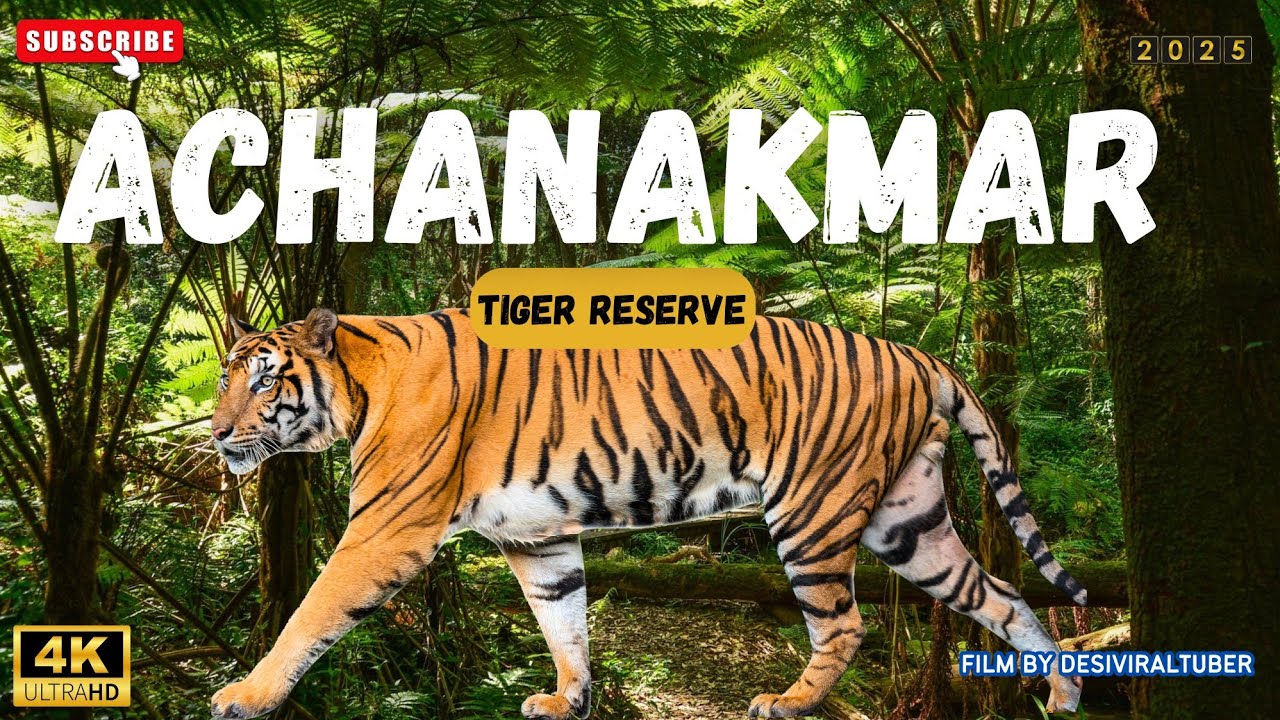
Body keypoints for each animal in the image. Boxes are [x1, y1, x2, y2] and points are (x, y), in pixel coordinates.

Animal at [208, 307, 1085, 720]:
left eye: (263, 379)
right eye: (224, 379)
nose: (215, 435)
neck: (356, 388)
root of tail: (920, 355)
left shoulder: (385, 530)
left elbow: (311, 612)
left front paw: (246, 694)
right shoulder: (537, 539)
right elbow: (563, 621)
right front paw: (569, 699)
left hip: (815, 508)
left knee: (845, 625)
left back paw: (787, 703)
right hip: (907, 521)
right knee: (1004, 597)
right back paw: (1064, 695)